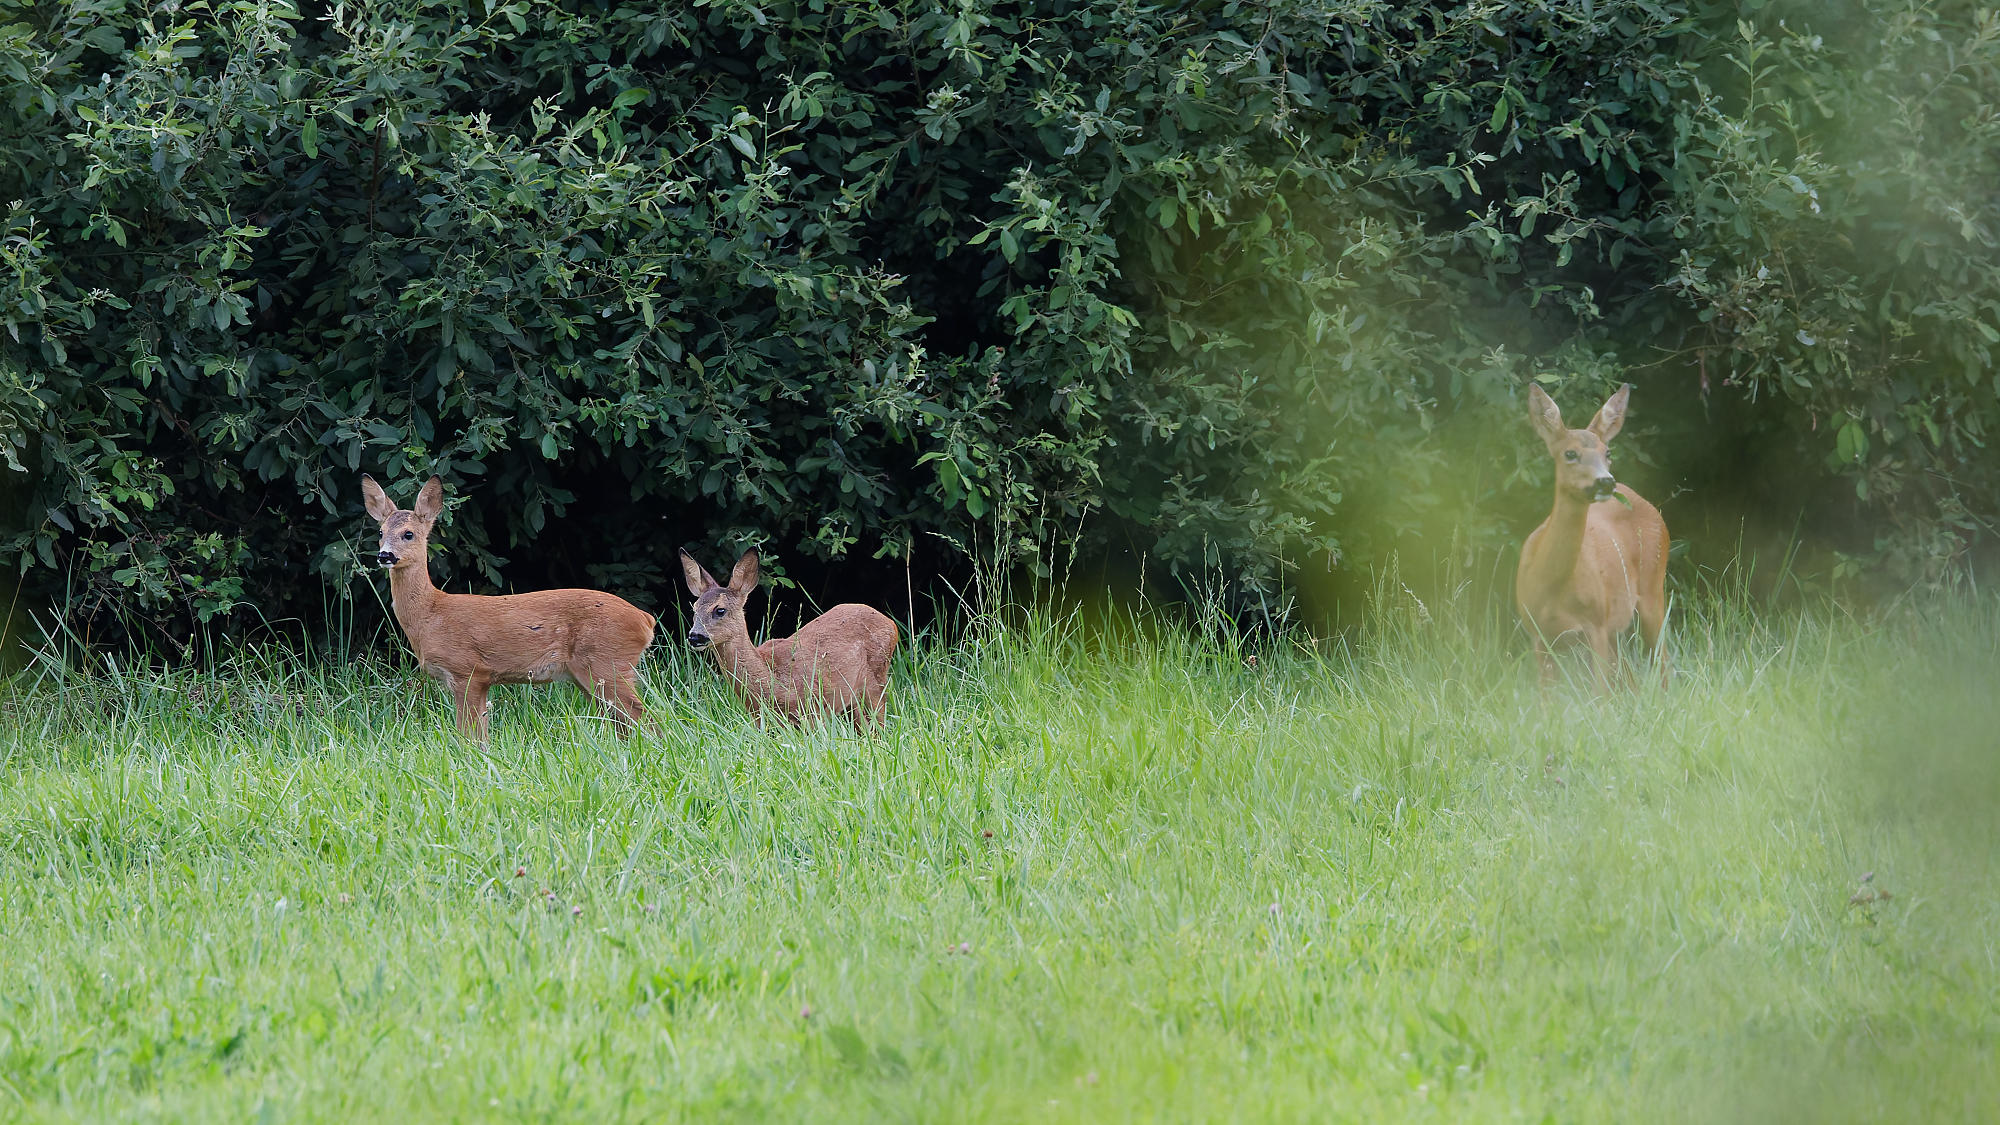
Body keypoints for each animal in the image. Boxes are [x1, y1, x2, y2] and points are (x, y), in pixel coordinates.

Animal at [360, 474, 658, 744]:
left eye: (408, 534)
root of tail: (646, 620)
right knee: (624, 723)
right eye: (380, 533)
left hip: (607, 662)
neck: (430, 614)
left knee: (646, 718)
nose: (385, 555)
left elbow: (469, 736)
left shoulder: (468, 670)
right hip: (590, 675)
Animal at [679, 548, 898, 727]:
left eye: (720, 610)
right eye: (694, 609)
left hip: (876, 681)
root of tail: (891, 623)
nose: (695, 636)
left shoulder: (812, 709)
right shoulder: (760, 720)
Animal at [1515, 383, 1671, 690]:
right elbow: (1545, 698)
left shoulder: (1596, 624)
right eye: (1570, 454)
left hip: (1652, 589)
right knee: (1630, 676)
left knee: (1663, 663)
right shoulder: (1538, 633)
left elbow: (1601, 695)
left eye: (1607, 452)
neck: (1553, 587)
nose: (1606, 481)